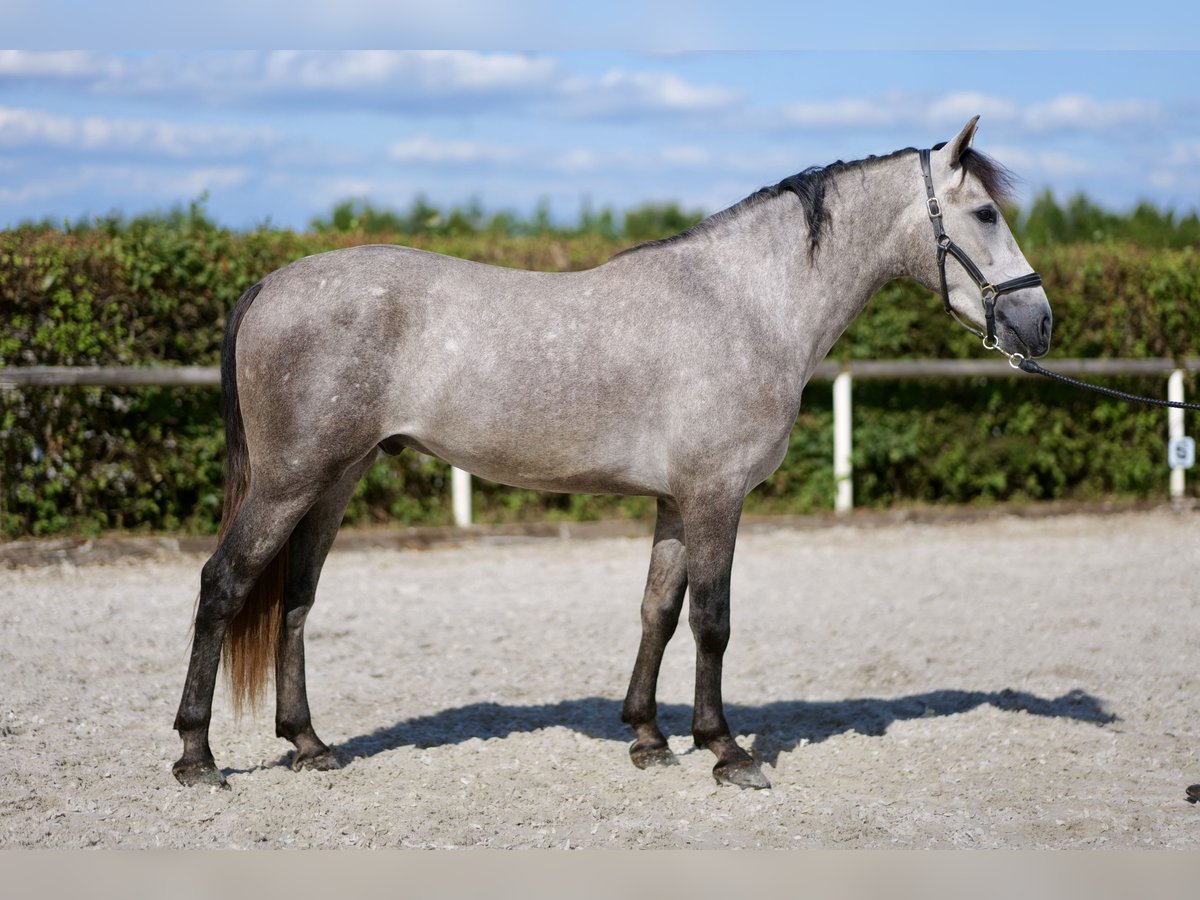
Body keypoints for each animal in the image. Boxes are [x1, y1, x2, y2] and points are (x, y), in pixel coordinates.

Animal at [175, 118, 1051, 787]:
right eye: (983, 214)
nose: (1037, 323)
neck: (747, 302)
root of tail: (270, 284)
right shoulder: (715, 496)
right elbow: (712, 621)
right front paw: (725, 750)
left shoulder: (675, 502)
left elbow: (657, 611)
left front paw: (648, 737)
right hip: (290, 482)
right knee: (223, 586)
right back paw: (197, 757)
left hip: (334, 479)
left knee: (294, 599)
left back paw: (309, 744)